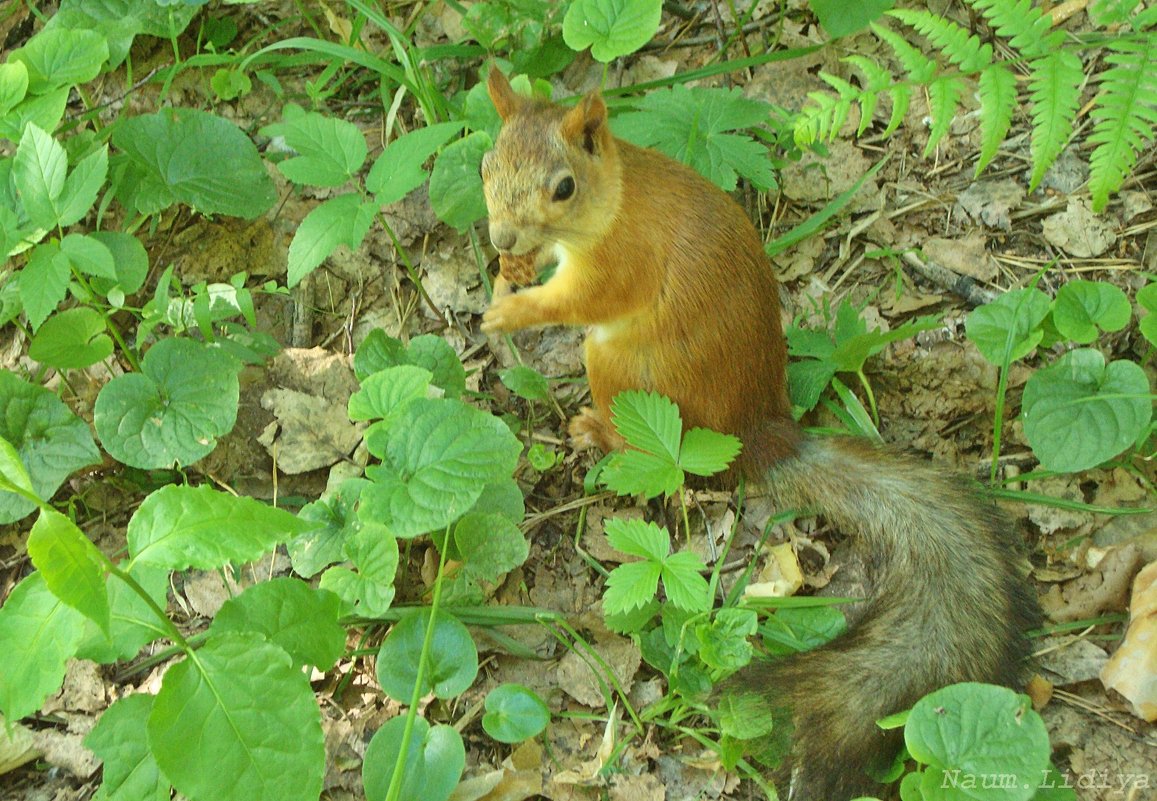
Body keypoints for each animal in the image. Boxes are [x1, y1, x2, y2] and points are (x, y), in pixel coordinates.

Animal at [478, 68, 1041, 801]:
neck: (613, 203)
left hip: (619, 367)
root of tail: (759, 433)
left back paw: (597, 432)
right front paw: (505, 279)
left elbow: (578, 299)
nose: (502, 239)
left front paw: (511, 311)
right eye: (486, 163)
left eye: (564, 187)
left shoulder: (620, 263)